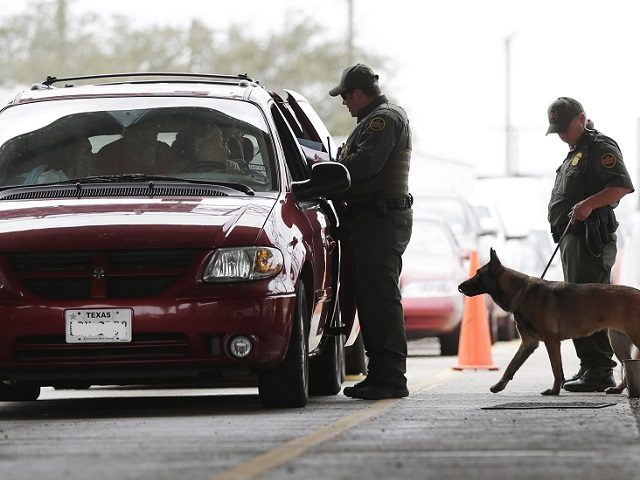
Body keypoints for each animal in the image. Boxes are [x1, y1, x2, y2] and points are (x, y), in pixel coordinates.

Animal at [458, 249, 636, 396]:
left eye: (478, 274)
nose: (459, 286)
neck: (520, 292)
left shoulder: (551, 341)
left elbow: (556, 370)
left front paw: (554, 391)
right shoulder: (528, 343)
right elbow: (511, 366)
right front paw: (499, 385)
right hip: (618, 341)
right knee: (626, 365)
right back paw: (618, 389)